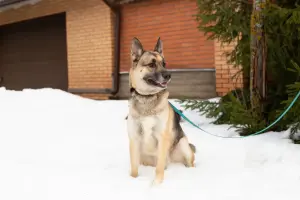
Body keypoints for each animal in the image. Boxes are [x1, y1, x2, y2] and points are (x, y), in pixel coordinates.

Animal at [126, 37, 197, 184]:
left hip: (182, 144)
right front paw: (133, 181)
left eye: (164, 64)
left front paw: (156, 185)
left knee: (188, 163)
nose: (169, 75)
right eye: (151, 64)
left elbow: (159, 169)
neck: (147, 98)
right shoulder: (134, 139)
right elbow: (134, 169)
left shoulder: (162, 138)